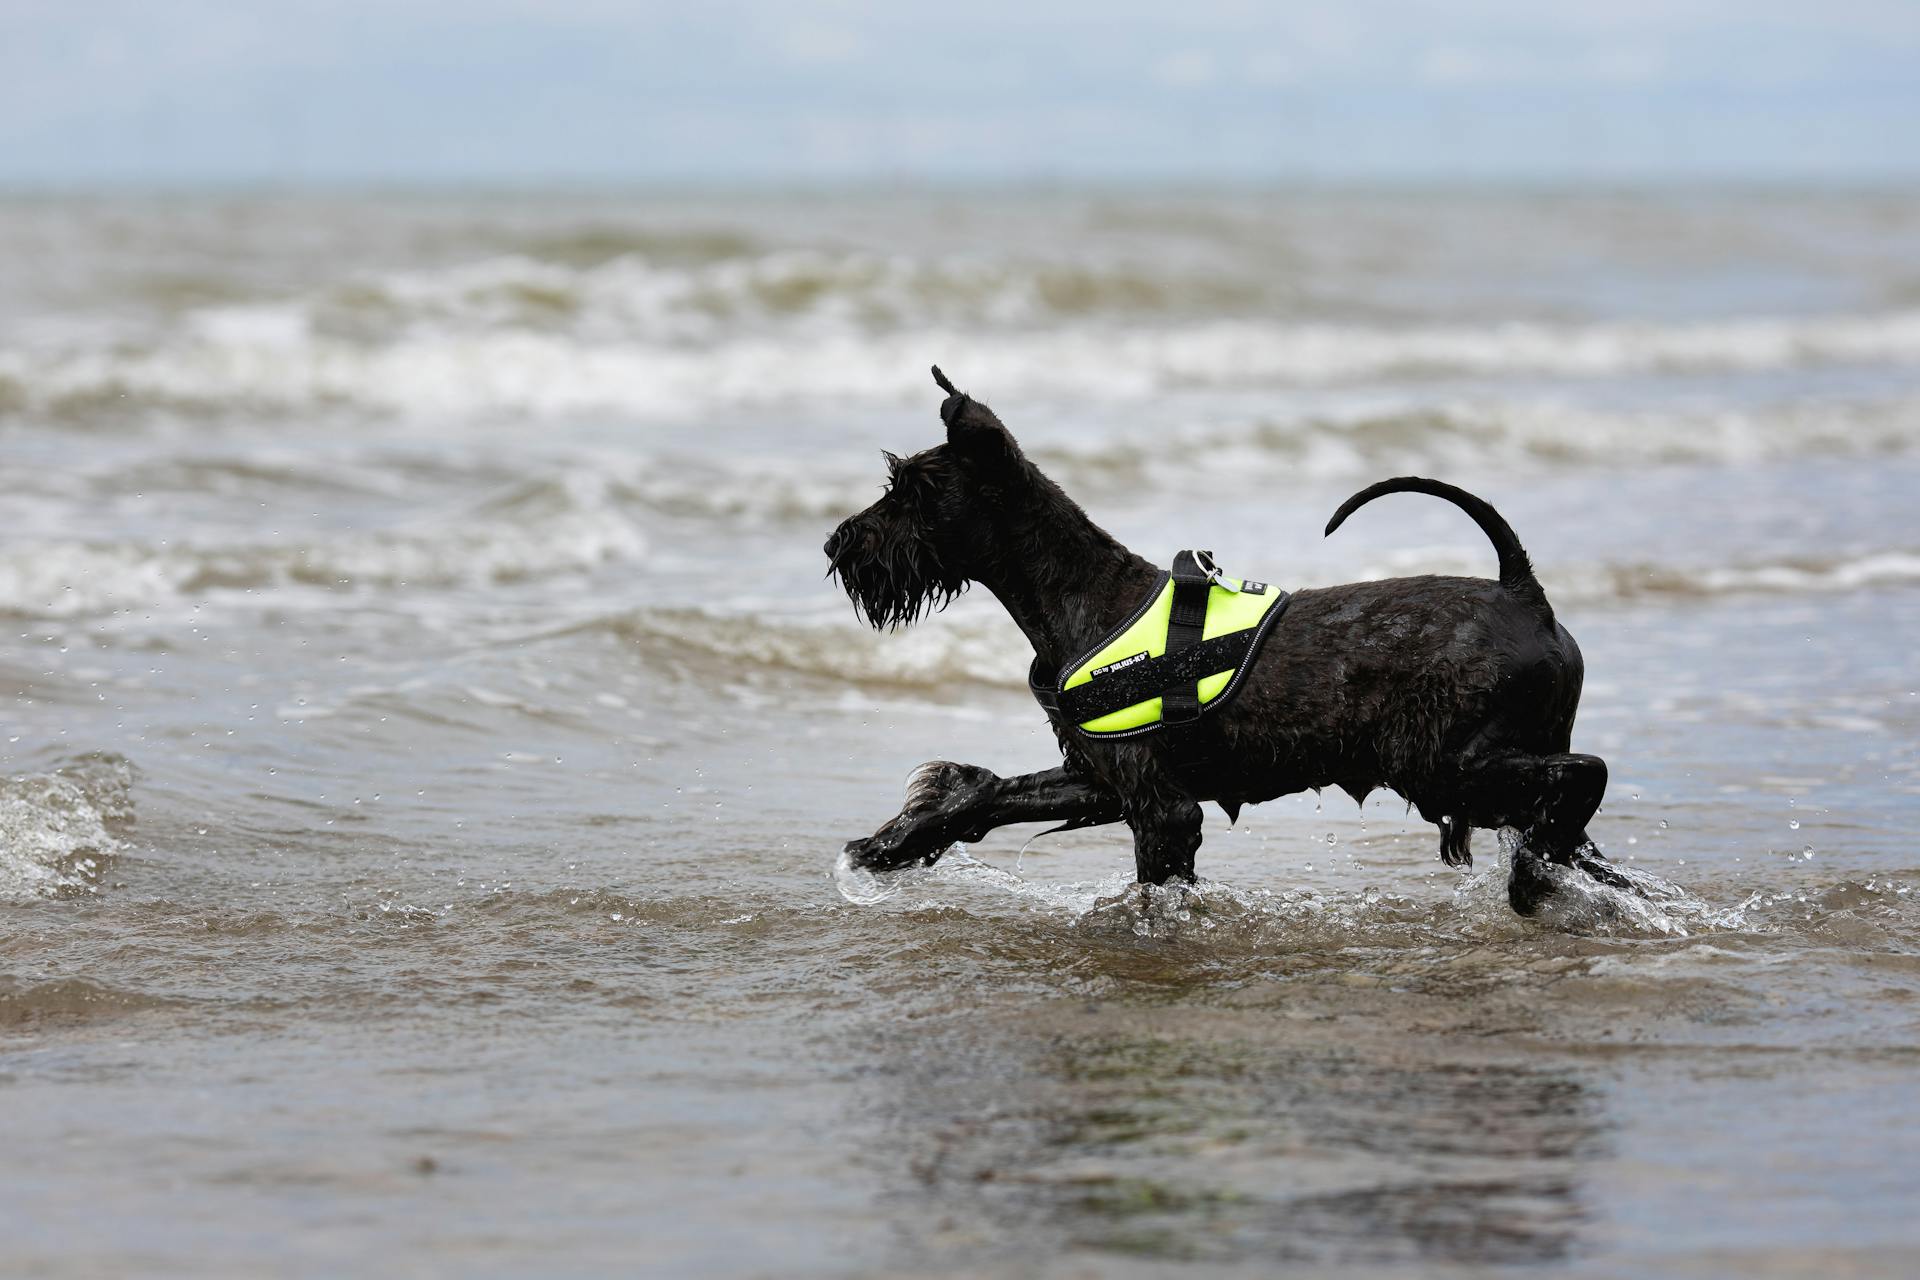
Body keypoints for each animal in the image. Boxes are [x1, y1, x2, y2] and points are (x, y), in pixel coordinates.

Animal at [817, 364, 1628, 917]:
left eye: (912, 490)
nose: (836, 544)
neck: (1079, 593)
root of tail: (1524, 594)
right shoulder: (1102, 777)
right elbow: (987, 794)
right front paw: (891, 845)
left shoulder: (1160, 808)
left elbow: (1157, 878)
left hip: (1444, 765)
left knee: (1584, 773)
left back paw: (1534, 878)